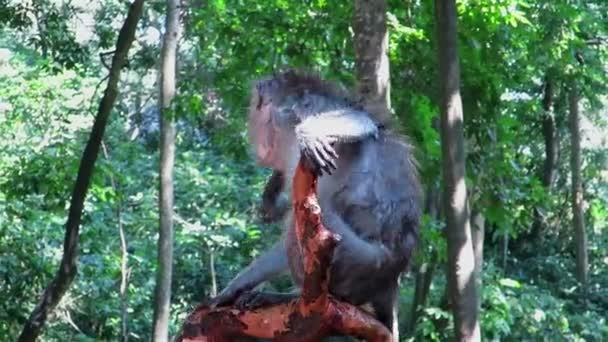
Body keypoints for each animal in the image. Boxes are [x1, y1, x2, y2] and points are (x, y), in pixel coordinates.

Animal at [211, 70, 420, 332]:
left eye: (253, 111)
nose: (251, 131)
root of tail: (391, 277)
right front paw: (236, 286)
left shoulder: (302, 110)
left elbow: (362, 120)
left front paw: (309, 135)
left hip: (357, 259)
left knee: (307, 216)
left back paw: (297, 296)